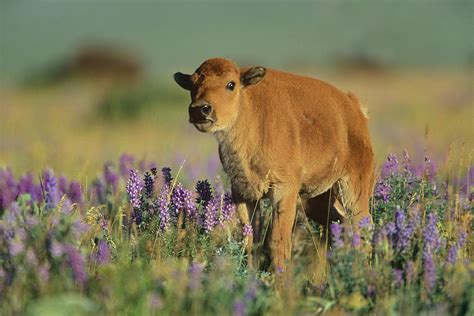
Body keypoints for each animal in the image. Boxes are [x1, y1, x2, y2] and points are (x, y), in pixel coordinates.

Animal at [173, 58, 374, 278]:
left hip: (353, 188)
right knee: (340, 224)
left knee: (363, 226)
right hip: (316, 198)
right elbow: (249, 240)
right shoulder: (243, 193)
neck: (250, 114)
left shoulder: (283, 191)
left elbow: (277, 242)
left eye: (231, 84)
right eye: (193, 84)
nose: (200, 109)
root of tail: (354, 108)